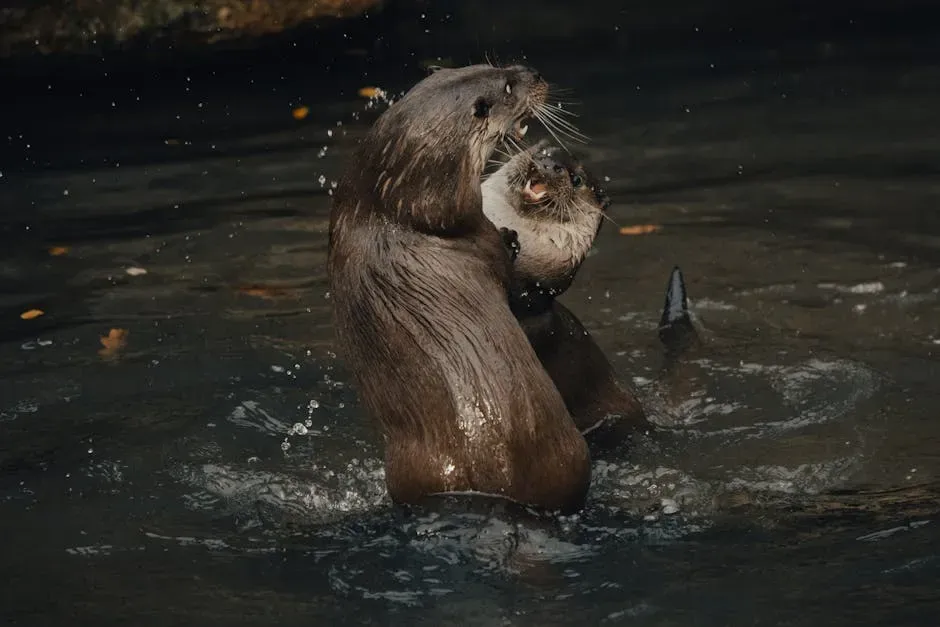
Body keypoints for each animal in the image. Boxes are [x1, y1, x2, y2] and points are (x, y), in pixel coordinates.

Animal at [327, 64, 591, 514]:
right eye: (508, 87)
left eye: (493, 65)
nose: (533, 73)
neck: (398, 211)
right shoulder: (480, 237)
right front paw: (513, 241)